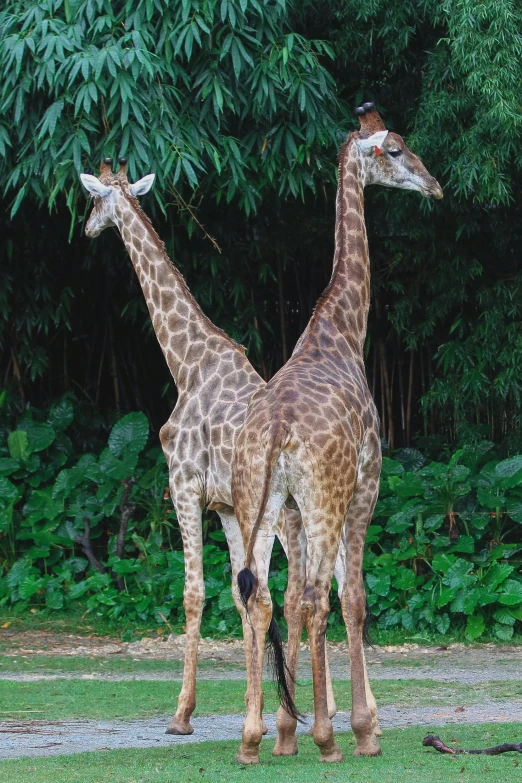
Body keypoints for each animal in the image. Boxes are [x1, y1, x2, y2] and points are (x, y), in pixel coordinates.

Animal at [78, 159, 350, 740]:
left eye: (93, 201)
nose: (87, 230)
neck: (187, 364)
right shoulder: (224, 506)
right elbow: (236, 595)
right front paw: (257, 710)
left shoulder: (183, 486)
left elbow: (195, 592)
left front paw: (183, 714)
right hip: (303, 511)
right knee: (325, 582)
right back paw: (321, 707)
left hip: (287, 514)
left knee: (301, 590)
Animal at [232, 104, 438, 764]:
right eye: (395, 150)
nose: (435, 185)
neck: (343, 330)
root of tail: (275, 430)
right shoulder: (365, 486)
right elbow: (354, 598)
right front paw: (362, 727)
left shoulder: (295, 511)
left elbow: (290, 599)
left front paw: (285, 728)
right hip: (324, 497)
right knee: (318, 595)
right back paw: (328, 741)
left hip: (259, 498)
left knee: (259, 595)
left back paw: (251, 739)